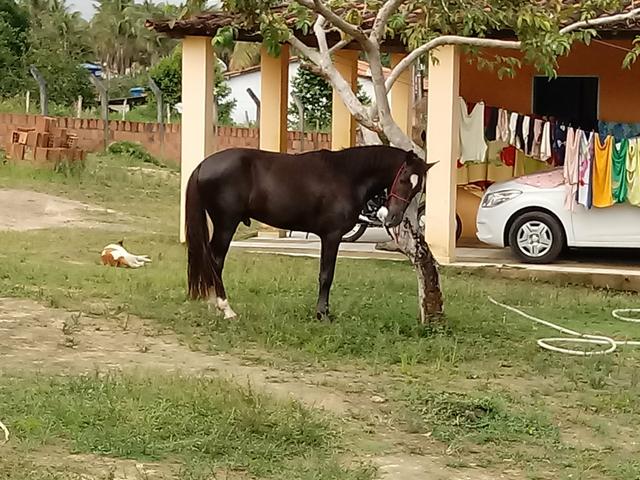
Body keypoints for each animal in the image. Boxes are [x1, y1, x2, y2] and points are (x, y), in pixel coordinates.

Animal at [185, 144, 436, 320]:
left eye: (417, 188)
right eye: (403, 179)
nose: (393, 218)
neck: (347, 175)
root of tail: (203, 165)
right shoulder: (332, 236)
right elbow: (326, 275)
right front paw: (322, 314)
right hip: (226, 224)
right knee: (215, 261)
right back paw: (225, 308)